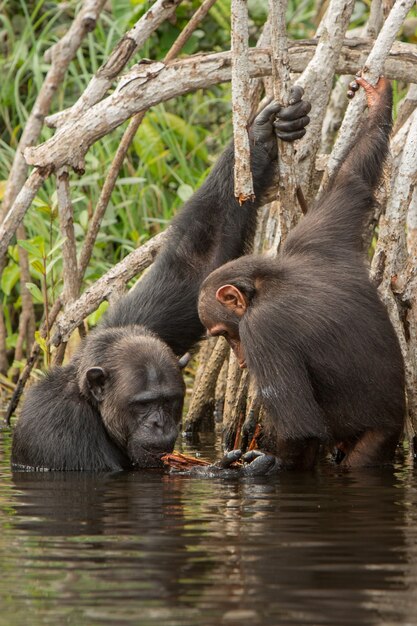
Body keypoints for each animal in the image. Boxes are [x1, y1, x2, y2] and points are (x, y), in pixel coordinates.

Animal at [11, 88, 310, 468]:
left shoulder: (140, 323)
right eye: (142, 404)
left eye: (168, 401)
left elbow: (195, 263)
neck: (93, 406)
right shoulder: (62, 432)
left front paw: (261, 134)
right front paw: (233, 469)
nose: (159, 423)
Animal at [198, 75, 404, 470]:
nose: (239, 356)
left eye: (225, 334)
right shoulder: (314, 238)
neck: (264, 284)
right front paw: (378, 100)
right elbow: (352, 179)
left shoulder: (262, 331)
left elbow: (300, 429)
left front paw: (260, 464)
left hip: (375, 440)